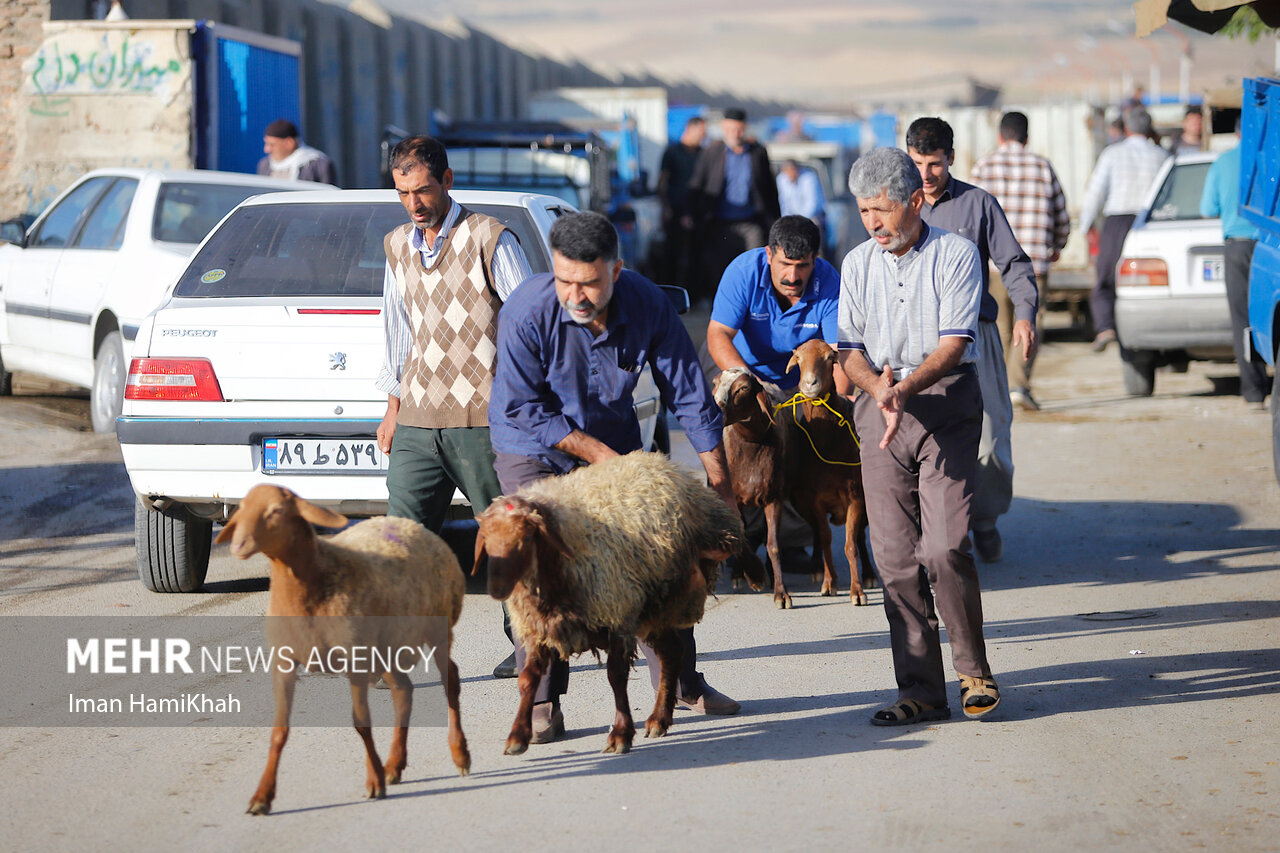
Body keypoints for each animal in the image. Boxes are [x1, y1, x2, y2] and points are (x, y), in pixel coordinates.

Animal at [217, 484, 473, 809]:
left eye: (276, 510)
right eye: (242, 507)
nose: (239, 544)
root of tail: (414, 525)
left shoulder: (355, 657)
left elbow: (361, 722)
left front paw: (374, 782)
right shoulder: (284, 662)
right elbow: (279, 731)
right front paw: (262, 797)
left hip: (438, 626)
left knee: (449, 680)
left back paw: (459, 755)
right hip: (386, 646)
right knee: (403, 690)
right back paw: (394, 765)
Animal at [773, 338, 875, 604]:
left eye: (830, 358)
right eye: (798, 359)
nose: (810, 383)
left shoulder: (855, 497)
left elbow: (850, 544)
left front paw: (857, 591)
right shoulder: (816, 499)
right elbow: (827, 538)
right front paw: (829, 583)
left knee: (860, 537)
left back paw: (869, 575)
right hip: (800, 501)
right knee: (817, 534)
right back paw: (817, 568)